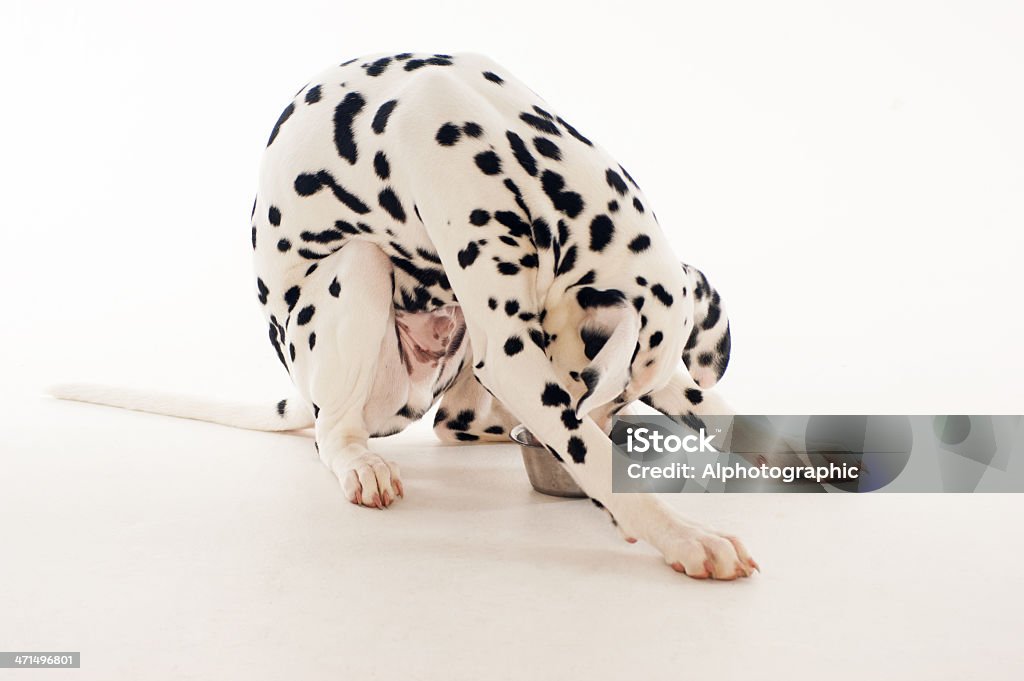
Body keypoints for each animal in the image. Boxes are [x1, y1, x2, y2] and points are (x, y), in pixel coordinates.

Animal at [58, 51, 761, 577]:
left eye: (631, 401)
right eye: (600, 399)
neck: (504, 136)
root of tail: (298, 389)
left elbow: (724, 412)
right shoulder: (514, 356)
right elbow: (590, 453)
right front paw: (685, 535)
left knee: (453, 429)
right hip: (358, 275)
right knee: (332, 433)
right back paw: (360, 464)